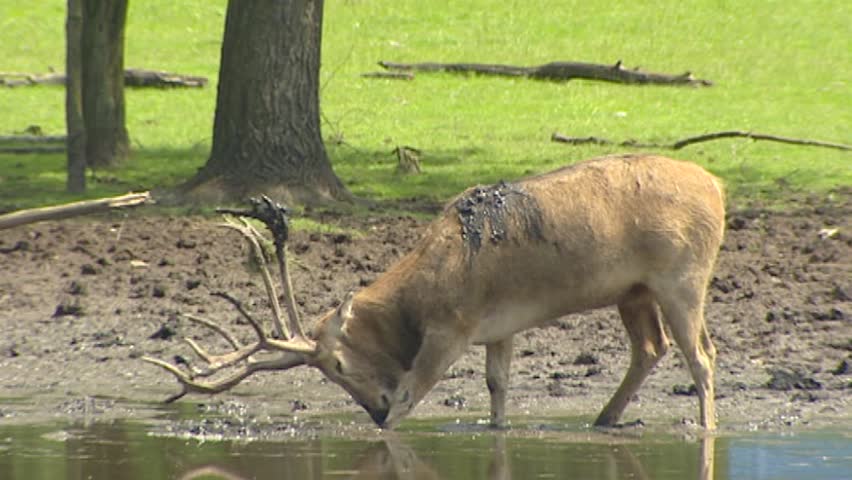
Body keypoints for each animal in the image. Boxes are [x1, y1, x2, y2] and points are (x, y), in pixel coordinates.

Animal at [143, 153, 725, 430]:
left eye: (336, 364)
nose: (372, 410)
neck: (422, 295)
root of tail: (718, 187)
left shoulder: (453, 326)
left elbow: (412, 393)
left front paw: (388, 425)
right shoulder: (500, 324)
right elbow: (497, 386)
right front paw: (497, 426)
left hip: (683, 275)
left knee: (702, 354)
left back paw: (705, 426)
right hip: (634, 290)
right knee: (651, 347)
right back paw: (604, 418)